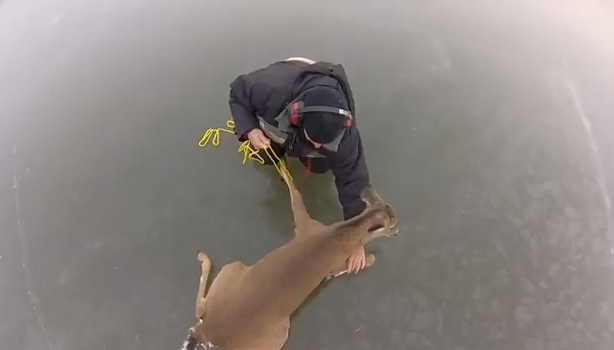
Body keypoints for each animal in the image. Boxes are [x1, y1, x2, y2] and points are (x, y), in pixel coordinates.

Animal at [182, 168, 400, 348]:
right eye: (392, 224)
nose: (398, 232)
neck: (342, 235)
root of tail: (210, 332)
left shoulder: (306, 227)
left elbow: (296, 201)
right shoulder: (327, 251)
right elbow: (298, 199)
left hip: (233, 270)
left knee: (201, 309)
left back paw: (203, 257)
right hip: (278, 336)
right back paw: (204, 258)